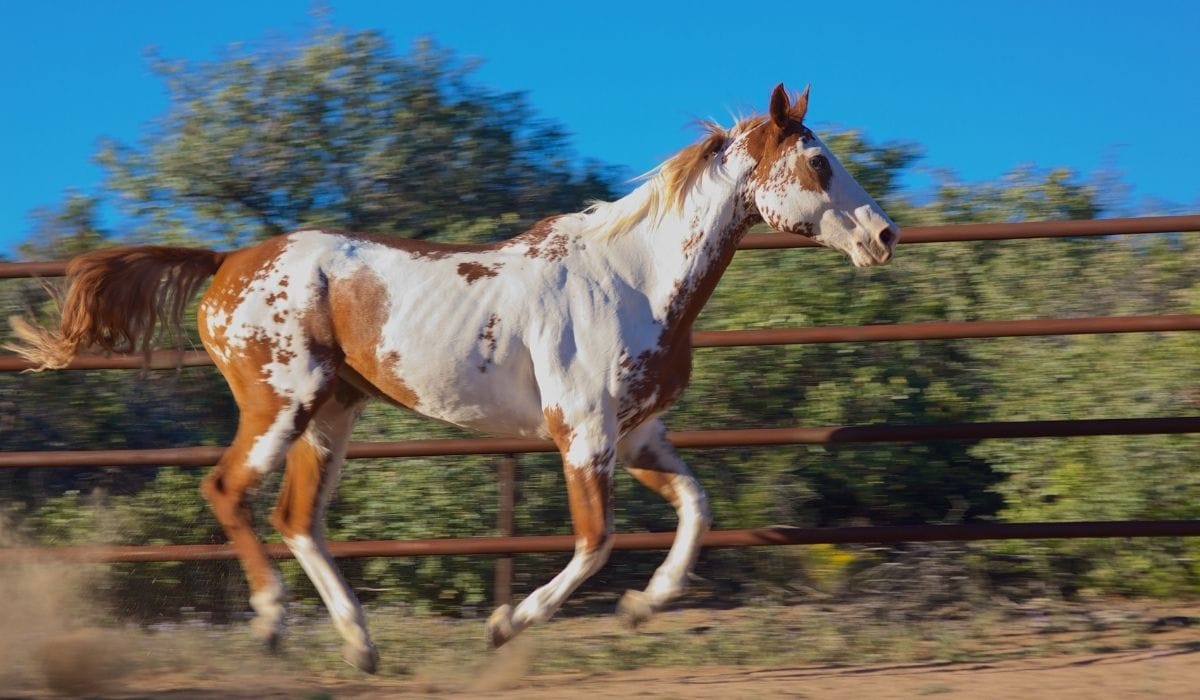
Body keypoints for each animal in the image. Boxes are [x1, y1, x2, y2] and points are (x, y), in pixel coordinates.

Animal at [9, 84, 898, 672]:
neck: (634, 280)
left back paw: (360, 646)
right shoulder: (583, 436)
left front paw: (645, 606)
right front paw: (506, 625)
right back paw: (271, 624)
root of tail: (227, 262)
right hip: (279, 403)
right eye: (818, 163)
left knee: (298, 519)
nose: (885, 235)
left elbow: (698, 510)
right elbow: (595, 542)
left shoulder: (640, 435)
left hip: (331, 416)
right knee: (228, 492)